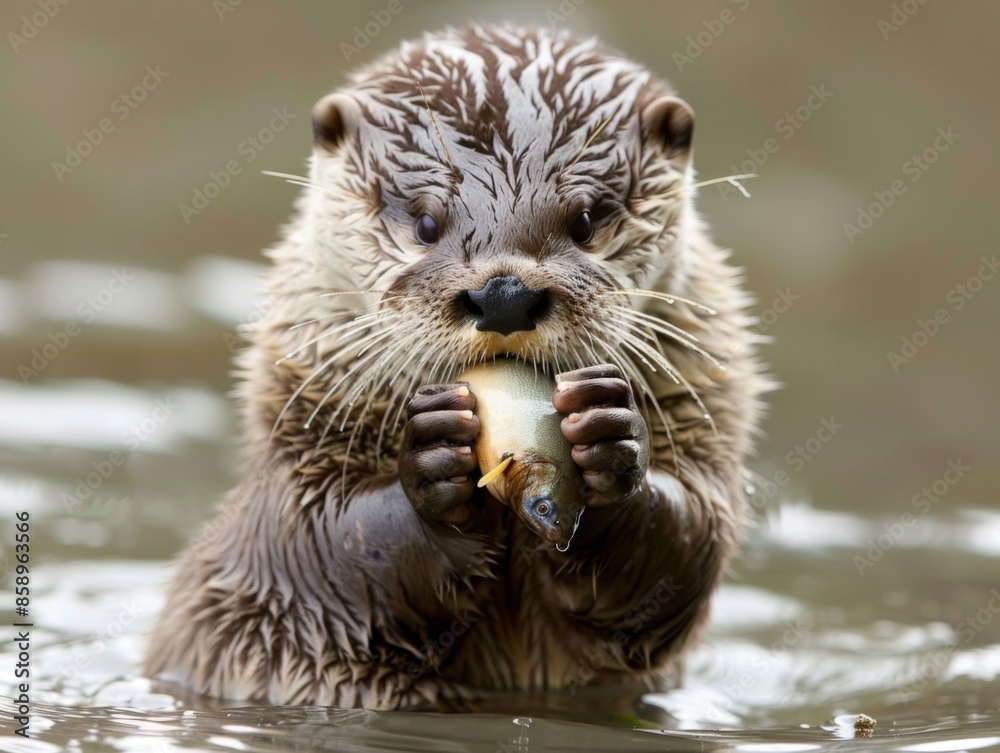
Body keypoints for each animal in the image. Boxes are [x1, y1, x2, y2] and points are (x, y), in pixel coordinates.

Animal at [145, 25, 766, 710]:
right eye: (424, 222)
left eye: (584, 221)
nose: (504, 294)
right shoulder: (295, 458)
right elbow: (325, 541)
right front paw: (432, 460)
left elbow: (686, 540)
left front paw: (612, 442)